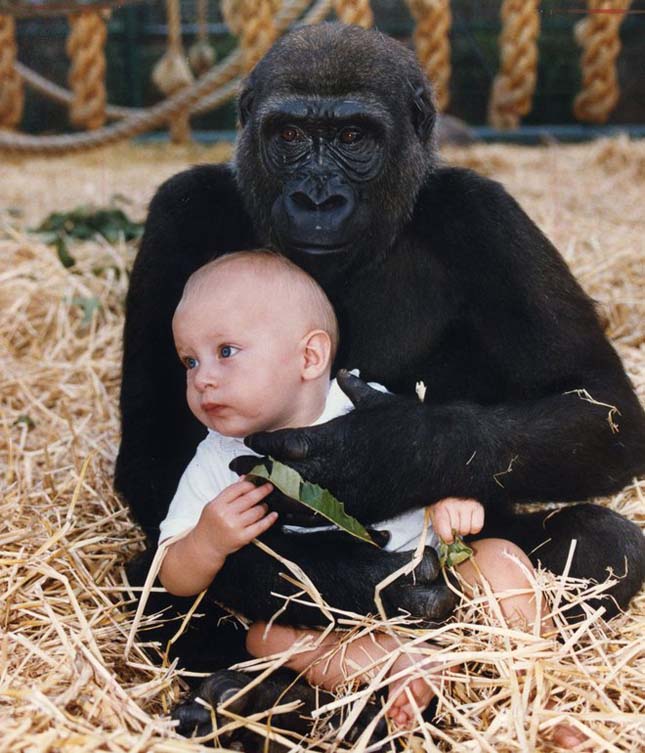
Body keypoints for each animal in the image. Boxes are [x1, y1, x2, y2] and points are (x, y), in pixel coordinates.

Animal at [118, 22, 644, 740]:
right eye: (288, 135)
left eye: (351, 137)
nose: (315, 198)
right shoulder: (180, 209)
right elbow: (153, 452)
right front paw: (350, 579)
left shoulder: (486, 213)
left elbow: (598, 405)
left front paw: (381, 455)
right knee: (154, 577)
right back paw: (259, 698)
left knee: (604, 542)